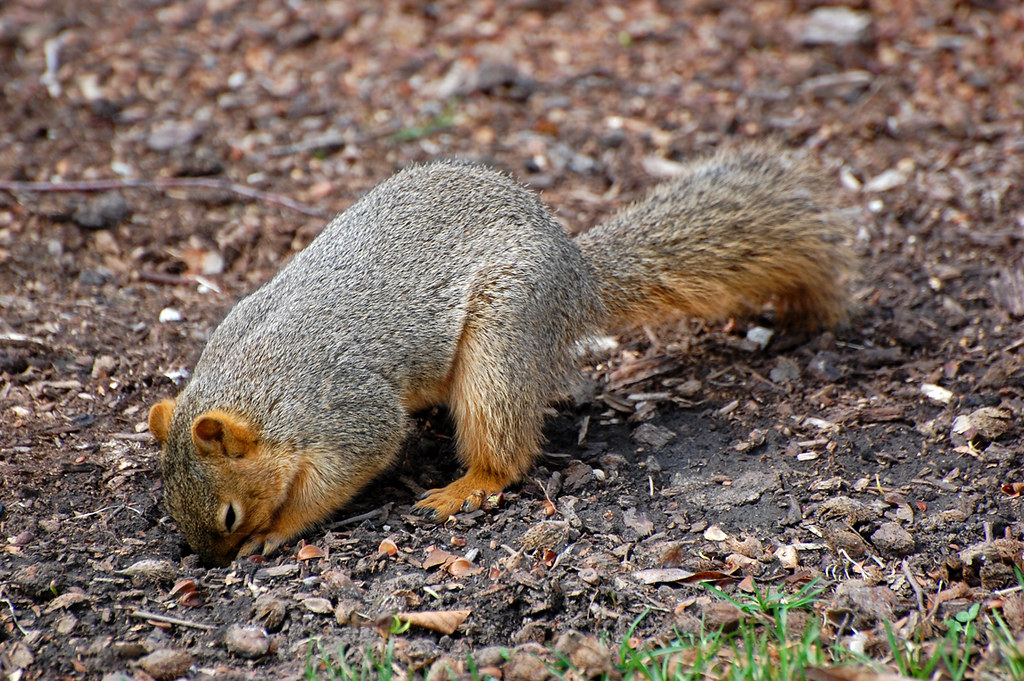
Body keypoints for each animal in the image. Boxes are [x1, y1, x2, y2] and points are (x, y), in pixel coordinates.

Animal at [149, 146, 856, 565]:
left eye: (231, 513)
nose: (212, 561)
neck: (256, 384)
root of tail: (578, 278)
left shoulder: (346, 411)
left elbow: (346, 470)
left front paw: (277, 529)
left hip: (505, 334)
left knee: (505, 448)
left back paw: (465, 487)